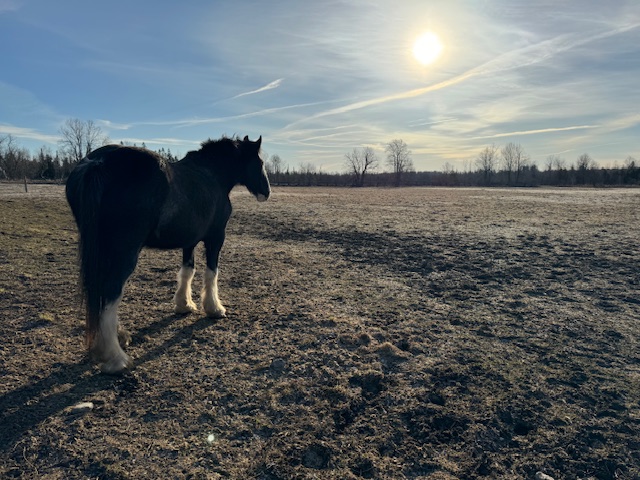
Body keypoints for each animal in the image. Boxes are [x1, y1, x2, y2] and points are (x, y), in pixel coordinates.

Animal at [65, 135, 271, 374]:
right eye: (260, 162)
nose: (267, 192)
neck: (211, 175)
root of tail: (97, 163)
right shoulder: (216, 237)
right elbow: (211, 273)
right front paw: (215, 308)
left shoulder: (189, 241)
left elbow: (187, 271)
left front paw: (184, 305)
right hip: (124, 251)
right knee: (111, 291)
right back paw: (116, 358)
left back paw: (118, 337)